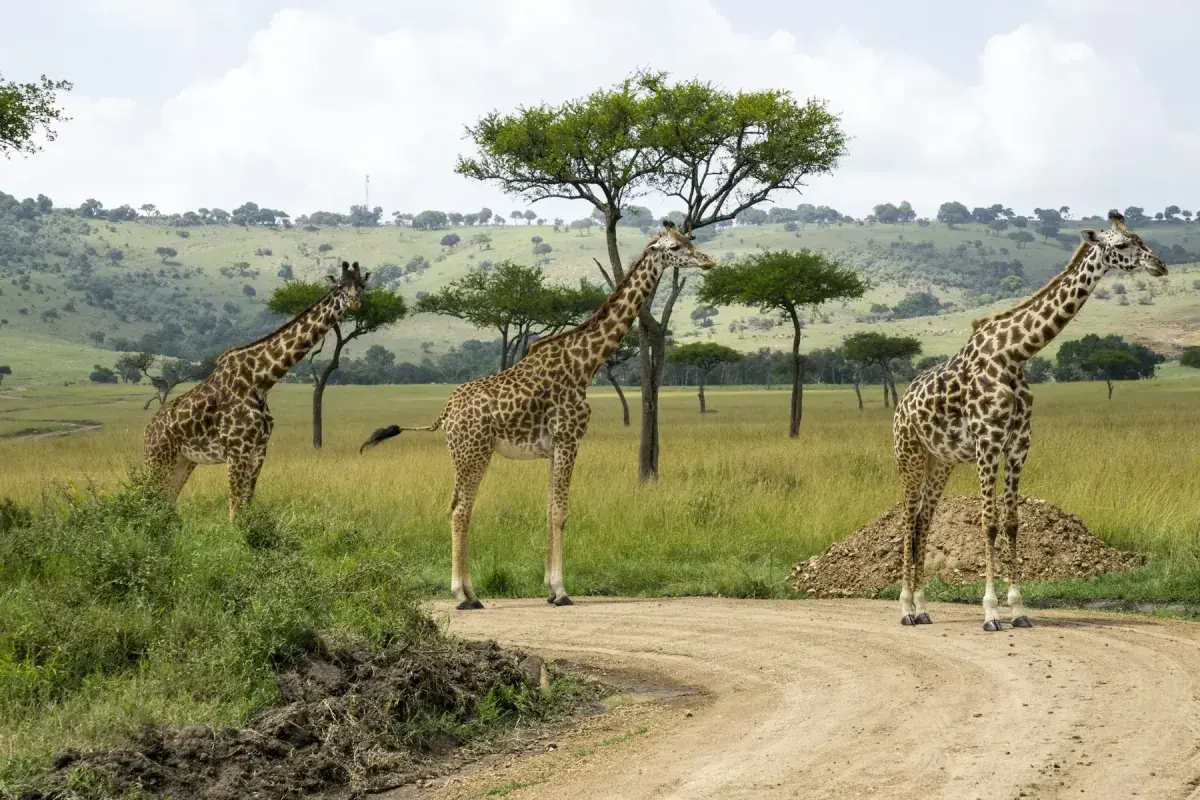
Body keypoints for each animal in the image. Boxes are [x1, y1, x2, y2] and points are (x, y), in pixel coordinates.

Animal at [143, 261, 370, 520]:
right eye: (340, 286)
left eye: (362, 285)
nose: (355, 303)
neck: (261, 380)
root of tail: (147, 430)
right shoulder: (236, 451)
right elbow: (234, 511)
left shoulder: (258, 450)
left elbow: (246, 507)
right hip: (158, 458)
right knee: (146, 501)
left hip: (184, 461)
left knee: (165, 502)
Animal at [360, 221, 716, 609]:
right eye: (674, 246)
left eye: (688, 240)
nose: (708, 261)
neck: (586, 363)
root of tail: (446, 412)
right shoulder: (569, 438)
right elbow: (561, 512)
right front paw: (561, 591)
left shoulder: (553, 447)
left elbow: (548, 510)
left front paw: (548, 588)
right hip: (473, 452)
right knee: (460, 510)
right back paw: (463, 595)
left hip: (463, 454)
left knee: (454, 506)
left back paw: (472, 593)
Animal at [891, 211, 1167, 632]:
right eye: (1121, 245)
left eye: (1141, 239)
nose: (1160, 265)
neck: (1015, 354)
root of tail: (901, 404)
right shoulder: (988, 442)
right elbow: (988, 522)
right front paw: (990, 613)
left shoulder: (1019, 444)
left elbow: (1011, 522)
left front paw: (1019, 610)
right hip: (909, 453)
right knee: (908, 519)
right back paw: (905, 609)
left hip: (941, 461)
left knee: (924, 518)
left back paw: (923, 608)